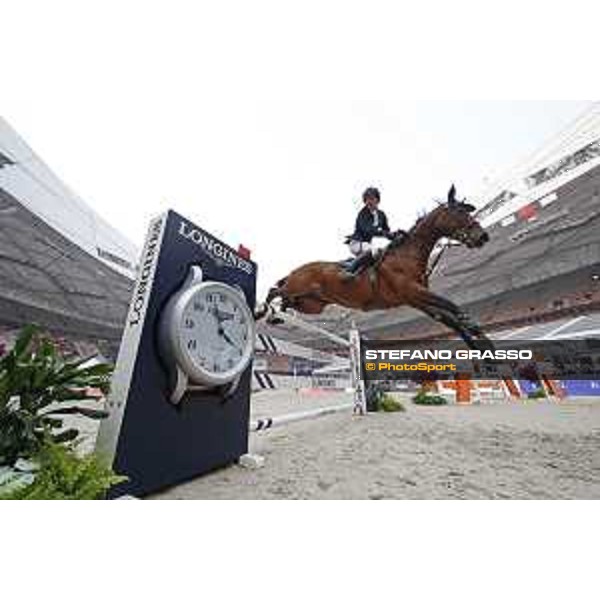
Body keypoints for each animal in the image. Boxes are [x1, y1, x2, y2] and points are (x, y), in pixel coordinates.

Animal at [255, 185, 494, 350]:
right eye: (458, 214)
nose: (482, 237)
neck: (408, 255)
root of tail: (297, 270)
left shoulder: (416, 300)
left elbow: (450, 319)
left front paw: (483, 350)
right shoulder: (413, 292)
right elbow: (454, 308)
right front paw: (476, 333)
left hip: (311, 304)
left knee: (287, 299)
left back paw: (277, 314)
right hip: (298, 286)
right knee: (274, 290)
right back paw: (263, 312)